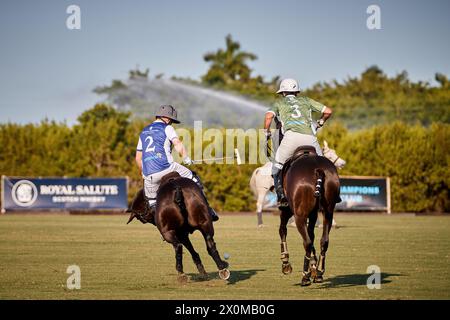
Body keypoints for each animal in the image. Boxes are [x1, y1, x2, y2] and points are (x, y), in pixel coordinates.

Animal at [278, 146, 342, 286]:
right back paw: (319, 272)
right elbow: (312, 235)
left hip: (299, 215)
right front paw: (314, 267)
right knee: (324, 240)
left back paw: (305, 277)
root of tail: (318, 169)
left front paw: (286, 264)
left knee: (306, 242)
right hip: (328, 211)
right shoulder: (313, 214)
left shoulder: (287, 210)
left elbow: (282, 230)